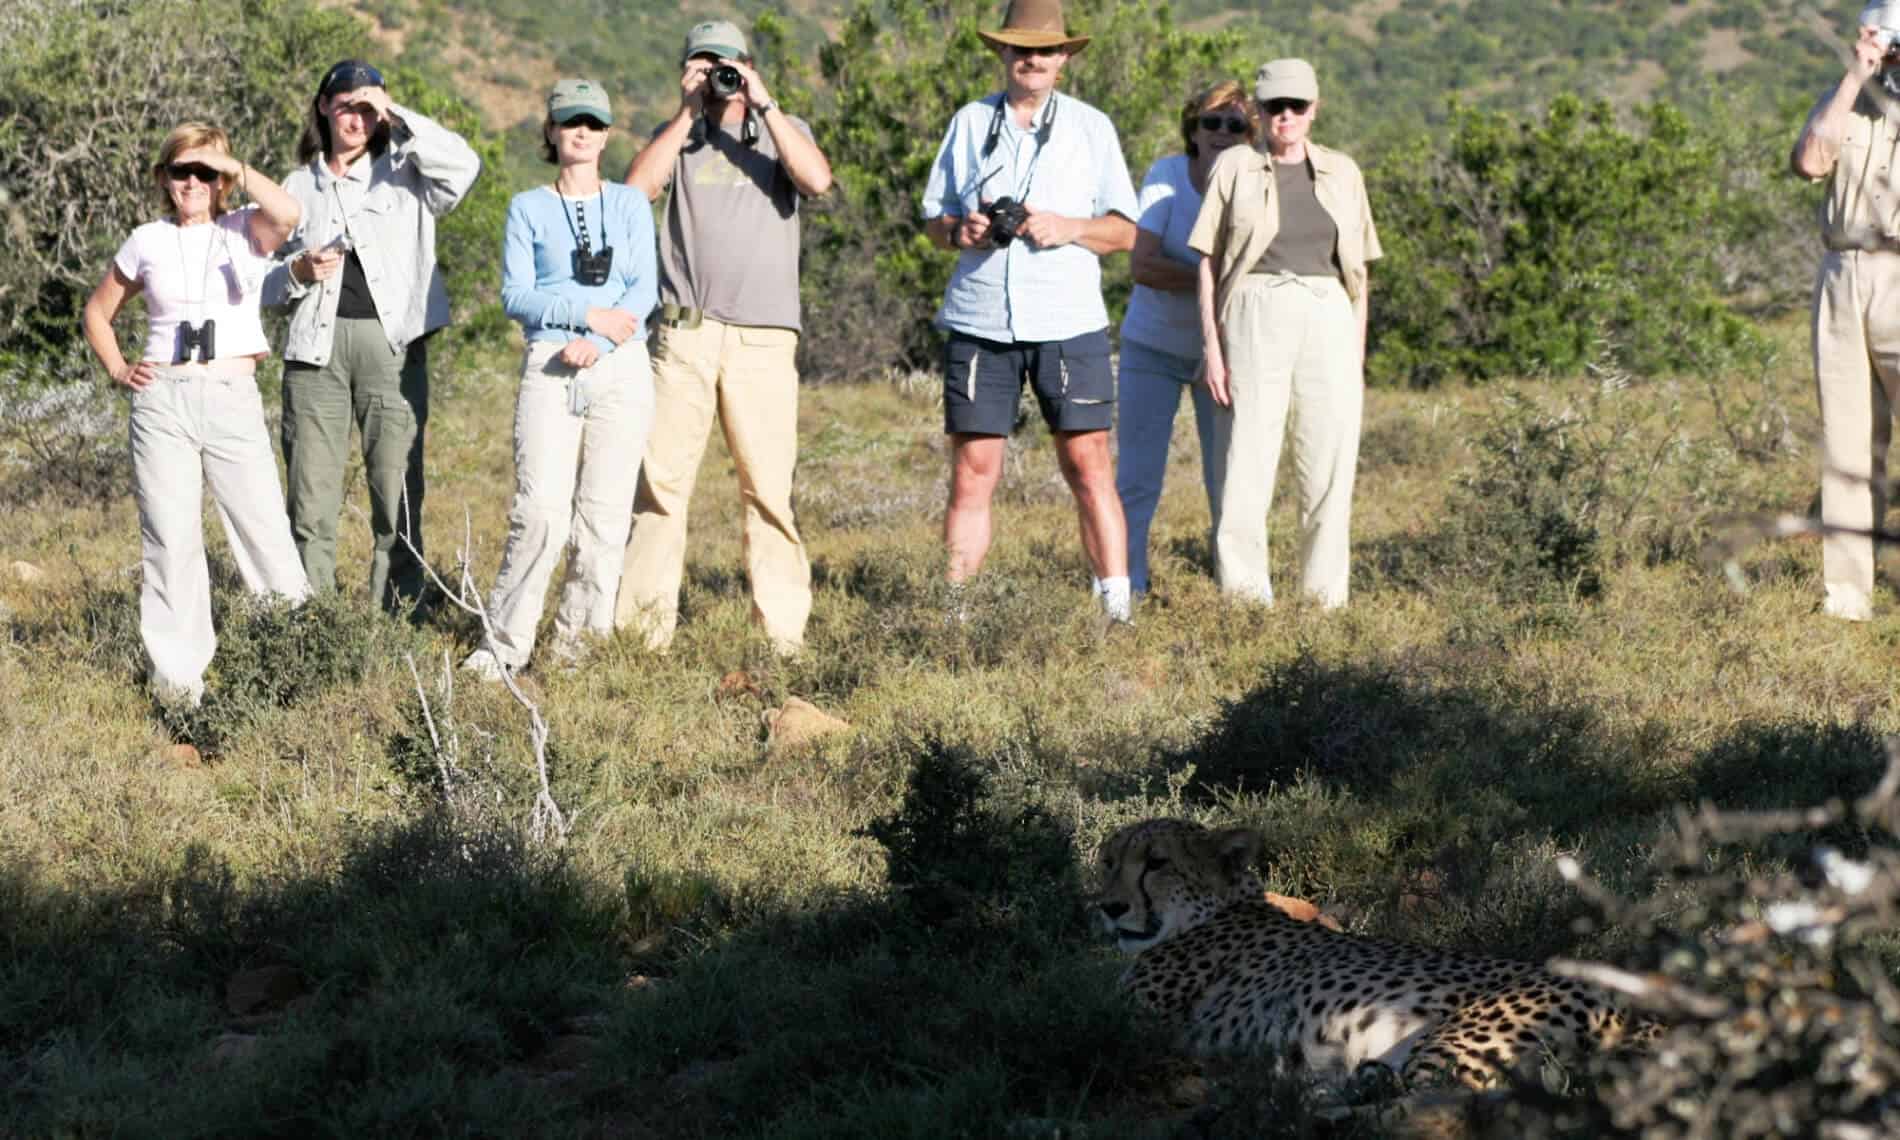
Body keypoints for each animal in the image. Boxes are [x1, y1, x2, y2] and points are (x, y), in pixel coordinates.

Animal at [1094, 818, 1656, 1090]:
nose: (1109, 907)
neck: (1218, 909)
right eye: (1108, 861)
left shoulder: (1136, 1018)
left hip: (1460, 1036)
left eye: (1157, 863)